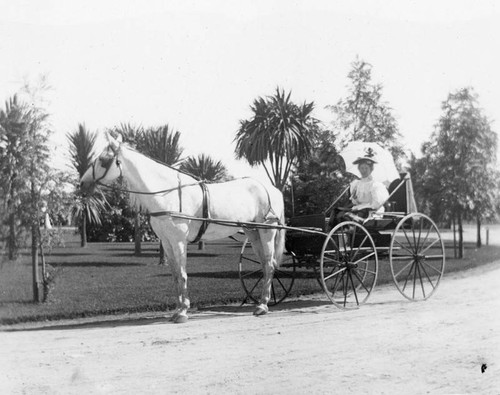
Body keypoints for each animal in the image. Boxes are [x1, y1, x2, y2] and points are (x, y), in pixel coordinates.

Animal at [81, 135, 286, 324]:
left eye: (103, 160)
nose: (82, 184)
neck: (167, 193)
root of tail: (272, 189)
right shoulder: (167, 242)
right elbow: (175, 275)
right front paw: (177, 309)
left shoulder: (179, 240)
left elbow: (182, 273)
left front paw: (183, 312)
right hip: (253, 232)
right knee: (264, 264)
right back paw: (261, 302)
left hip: (267, 232)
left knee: (269, 265)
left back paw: (263, 305)